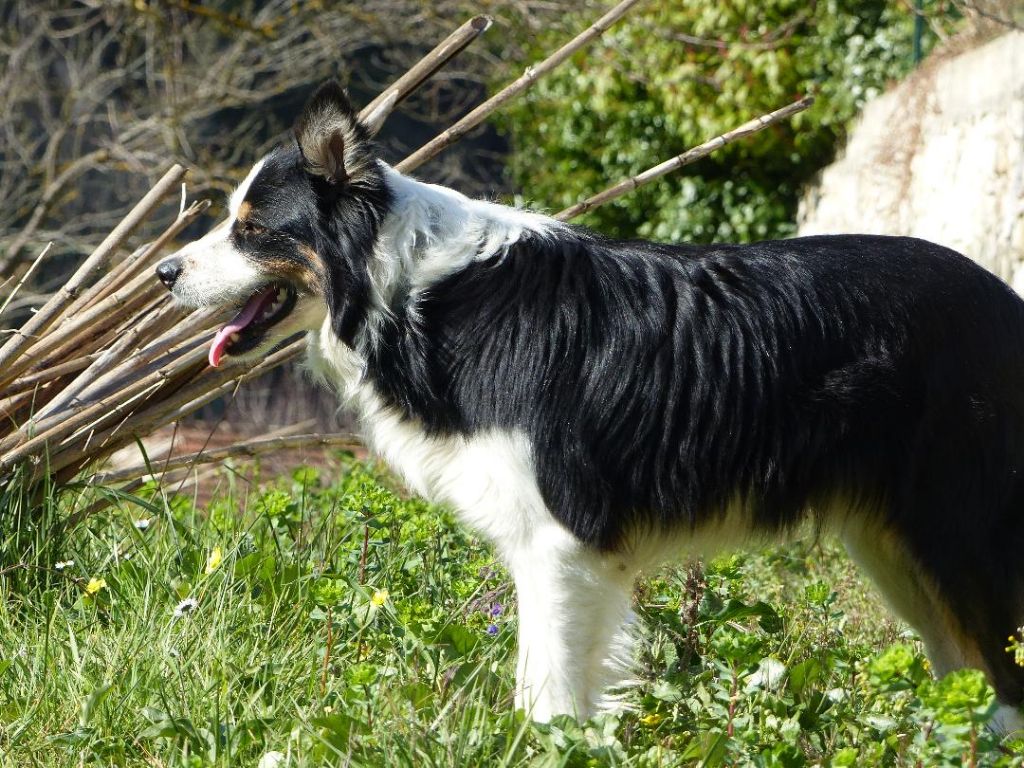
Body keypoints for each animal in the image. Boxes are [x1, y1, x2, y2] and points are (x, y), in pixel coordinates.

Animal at [155, 83, 1024, 733]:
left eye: (252, 230)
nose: (163, 274)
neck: (416, 291)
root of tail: (1007, 302)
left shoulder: (557, 541)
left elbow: (545, 694)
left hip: (958, 532)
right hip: (897, 548)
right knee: (966, 674)